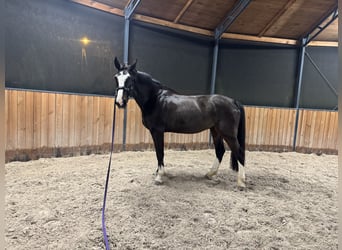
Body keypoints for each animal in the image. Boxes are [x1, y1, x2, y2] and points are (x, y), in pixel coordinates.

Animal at [114, 58, 246, 188]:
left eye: (130, 79)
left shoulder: (157, 131)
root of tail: (233, 101)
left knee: (239, 152)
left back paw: (241, 182)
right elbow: (158, 152)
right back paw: (210, 174)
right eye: (116, 78)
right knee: (220, 151)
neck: (155, 98)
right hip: (215, 130)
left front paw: (159, 176)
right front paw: (158, 172)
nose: (119, 102)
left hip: (228, 133)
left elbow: (160, 152)